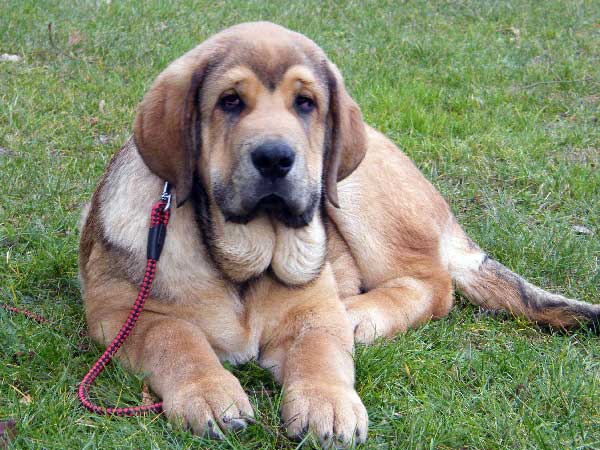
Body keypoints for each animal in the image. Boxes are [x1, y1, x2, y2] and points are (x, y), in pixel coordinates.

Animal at [79, 22, 600, 446]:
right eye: (229, 101)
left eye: (306, 103)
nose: (275, 158)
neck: (244, 259)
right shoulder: (117, 313)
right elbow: (174, 334)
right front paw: (208, 392)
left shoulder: (313, 306)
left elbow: (320, 350)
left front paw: (326, 403)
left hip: (353, 194)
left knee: (434, 286)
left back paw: (360, 314)